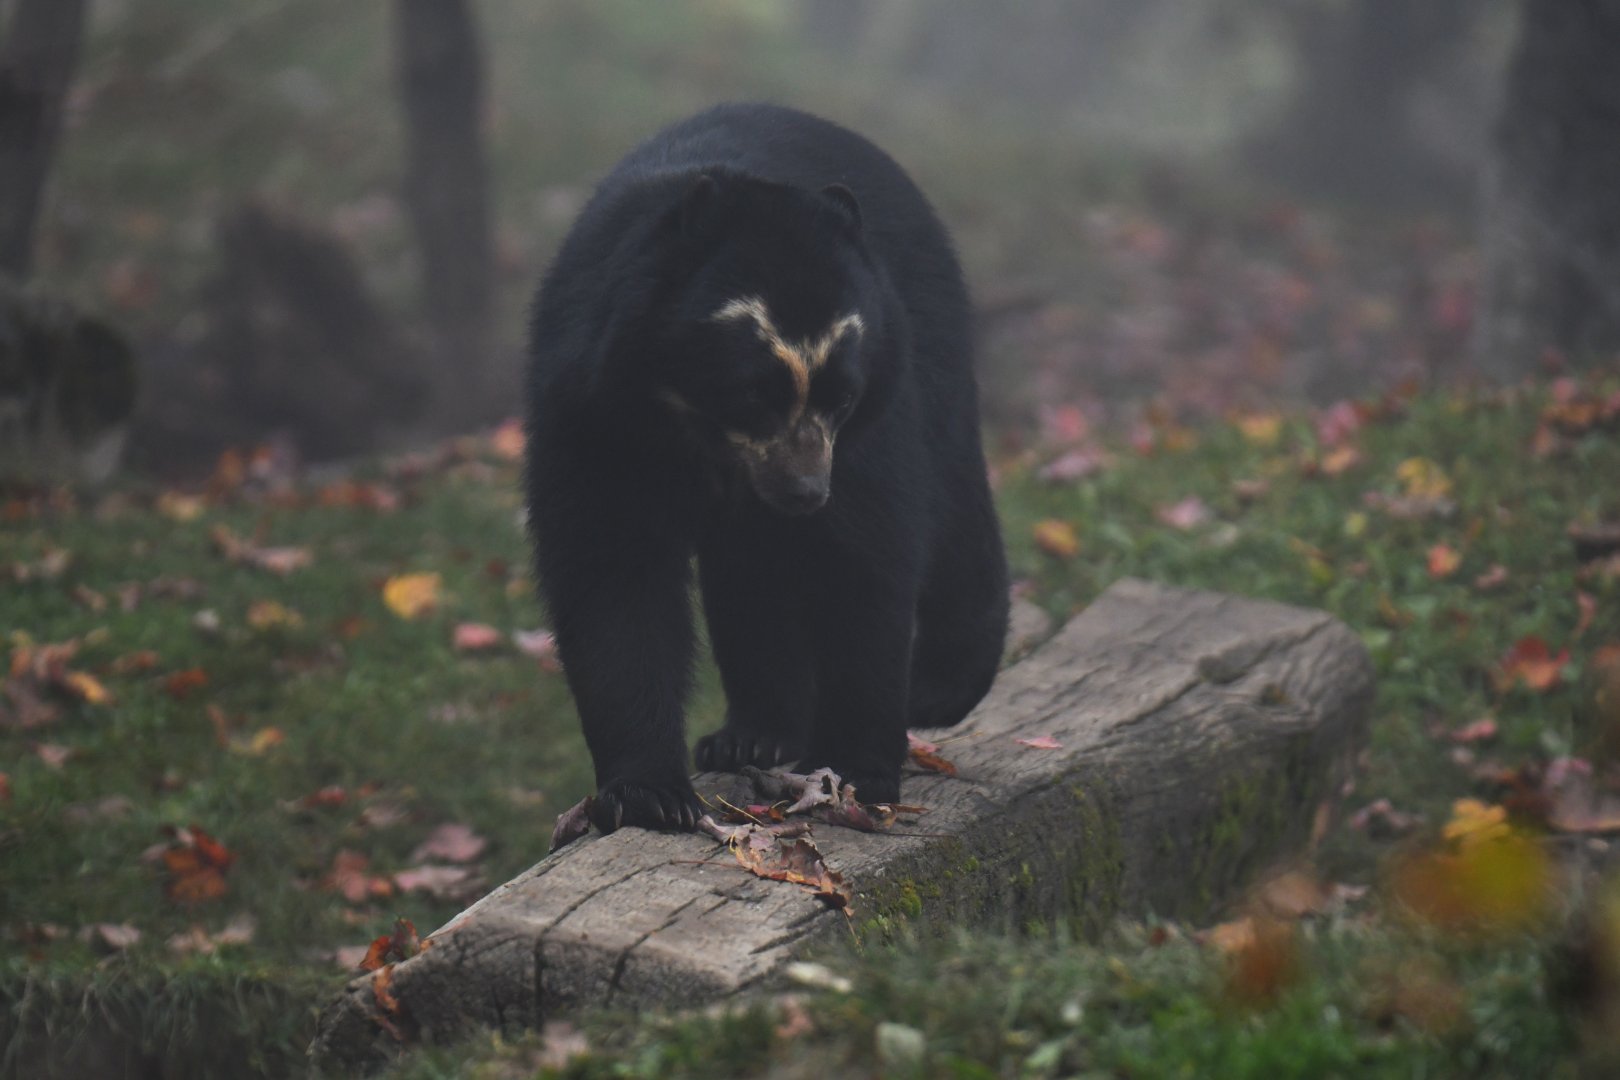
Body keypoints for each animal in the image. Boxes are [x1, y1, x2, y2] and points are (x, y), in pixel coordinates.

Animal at [525, 103, 1008, 833]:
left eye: (843, 396)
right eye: (754, 393)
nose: (805, 492)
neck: (699, 433)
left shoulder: (870, 425)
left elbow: (866, 556)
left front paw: (855, 773)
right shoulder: (590, 412)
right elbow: (610, 571)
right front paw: (649, 794)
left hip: (937, 342)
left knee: (950, 503)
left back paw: (938, 690)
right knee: (751, 580)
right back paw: (752, 736)